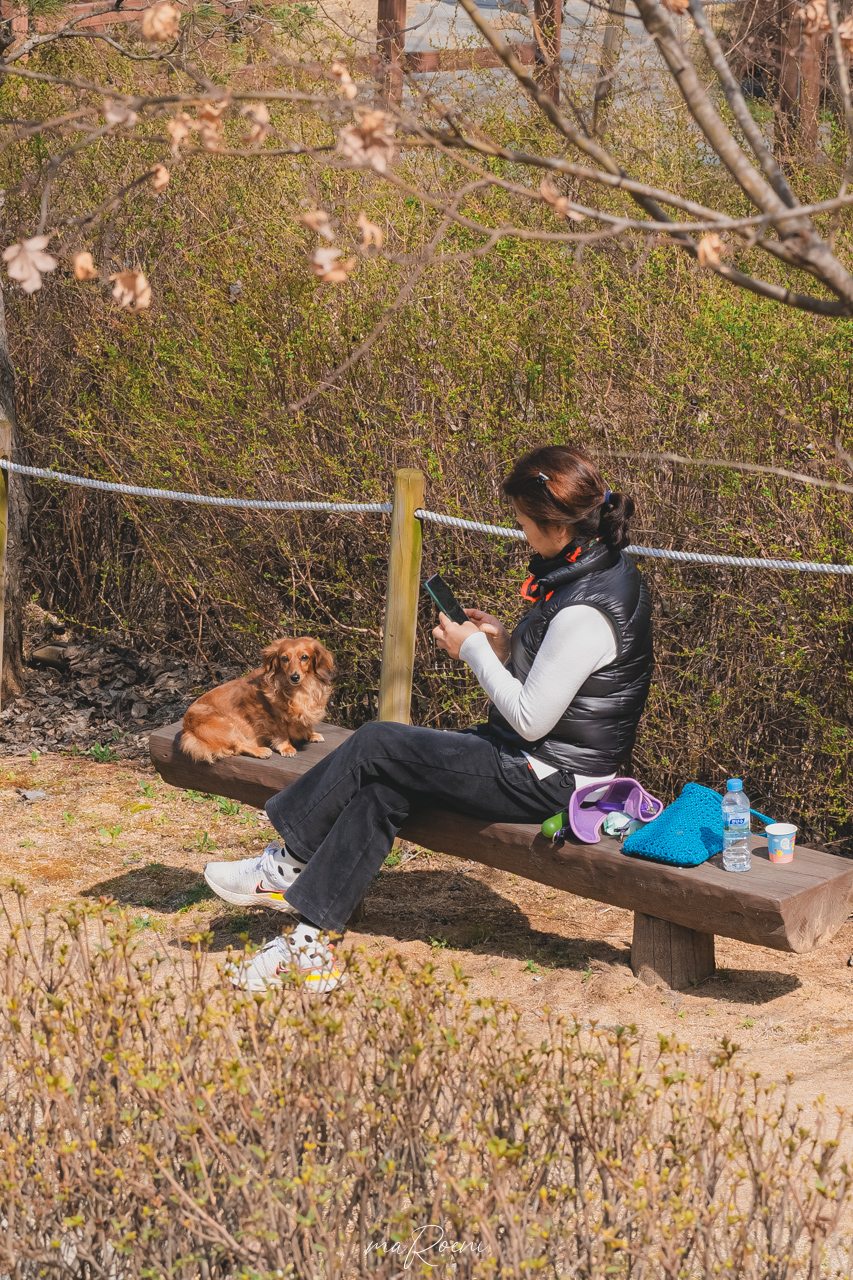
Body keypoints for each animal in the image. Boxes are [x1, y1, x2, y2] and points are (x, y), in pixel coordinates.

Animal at [181, 636, 334, 763]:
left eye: (304, 657)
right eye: (284, 658)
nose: (294, 677)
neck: (300, 690)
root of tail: (186, 725)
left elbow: (306, 724)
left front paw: (311, 734)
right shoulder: (275, 717)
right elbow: (282, 733)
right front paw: (286, 747)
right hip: (226, 726)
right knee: (239, 745)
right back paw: (261, 751)